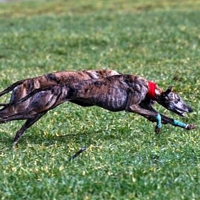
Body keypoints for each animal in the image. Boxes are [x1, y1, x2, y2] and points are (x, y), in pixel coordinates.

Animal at [0, 73, 195, 145]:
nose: (191, 109)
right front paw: (158, 127)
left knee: (19, 128)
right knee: (5, 116)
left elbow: (163, 116)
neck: (148, 87)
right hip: (31, 110)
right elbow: (158, 116)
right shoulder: (132, 106)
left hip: (38, 112)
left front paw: (187, 126)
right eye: (178, 99)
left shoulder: (143, 108)